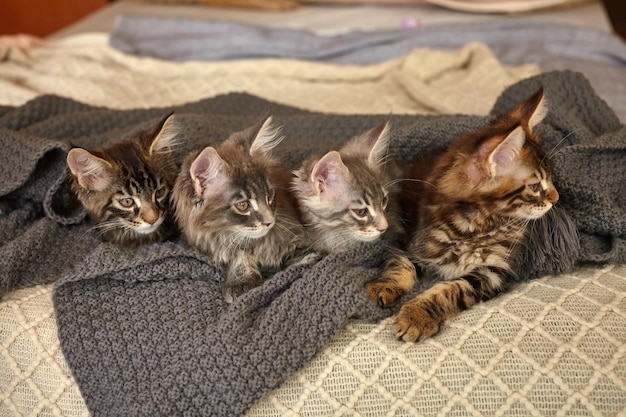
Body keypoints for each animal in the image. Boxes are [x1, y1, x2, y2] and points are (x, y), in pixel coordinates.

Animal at [364, 88, 560, 342]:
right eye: (535, 186)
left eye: (551, 178)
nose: (556, 198)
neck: (473, 226)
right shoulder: (410, 242)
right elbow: (400, 264)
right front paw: (384, 286)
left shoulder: (491, 272)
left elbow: (449, 290)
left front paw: (416, 315)